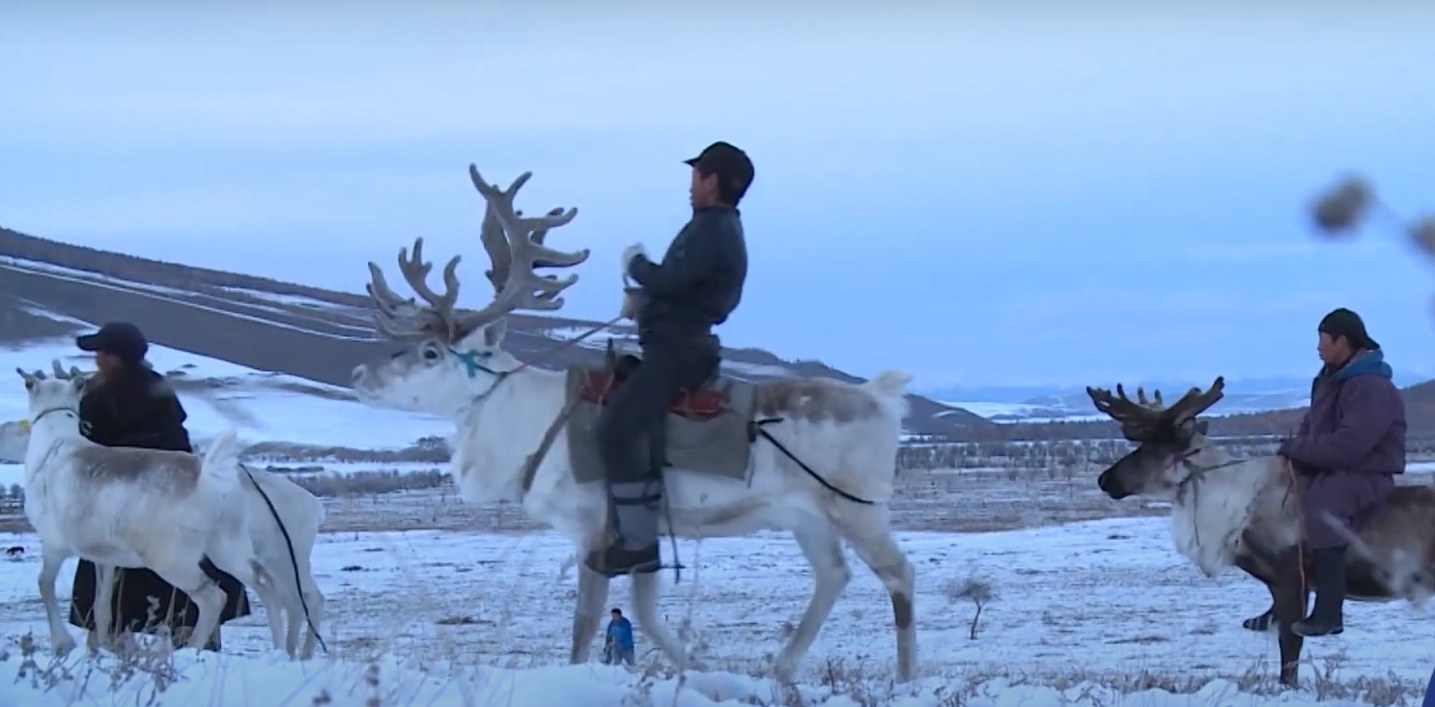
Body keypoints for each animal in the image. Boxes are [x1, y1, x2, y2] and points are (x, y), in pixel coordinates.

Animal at [349, 164, 918, 682]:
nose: (358, 373)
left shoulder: (594, 528)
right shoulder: (645, 534)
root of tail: (881, 396)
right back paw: (781, 668)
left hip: (856, 507)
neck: (529, 422)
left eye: (430, 352)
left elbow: (585, 622)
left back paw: (906, 676)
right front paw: (701, 671)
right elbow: (646, 615)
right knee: (834, 574)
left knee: (898, 573)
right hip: (806, 518)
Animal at [1085, 376, 1435, 688]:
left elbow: (1290, 650)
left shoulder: (1292, 578)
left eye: (1149, 447)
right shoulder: (1278, 587)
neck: (1235, 506)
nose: (1105, 479)